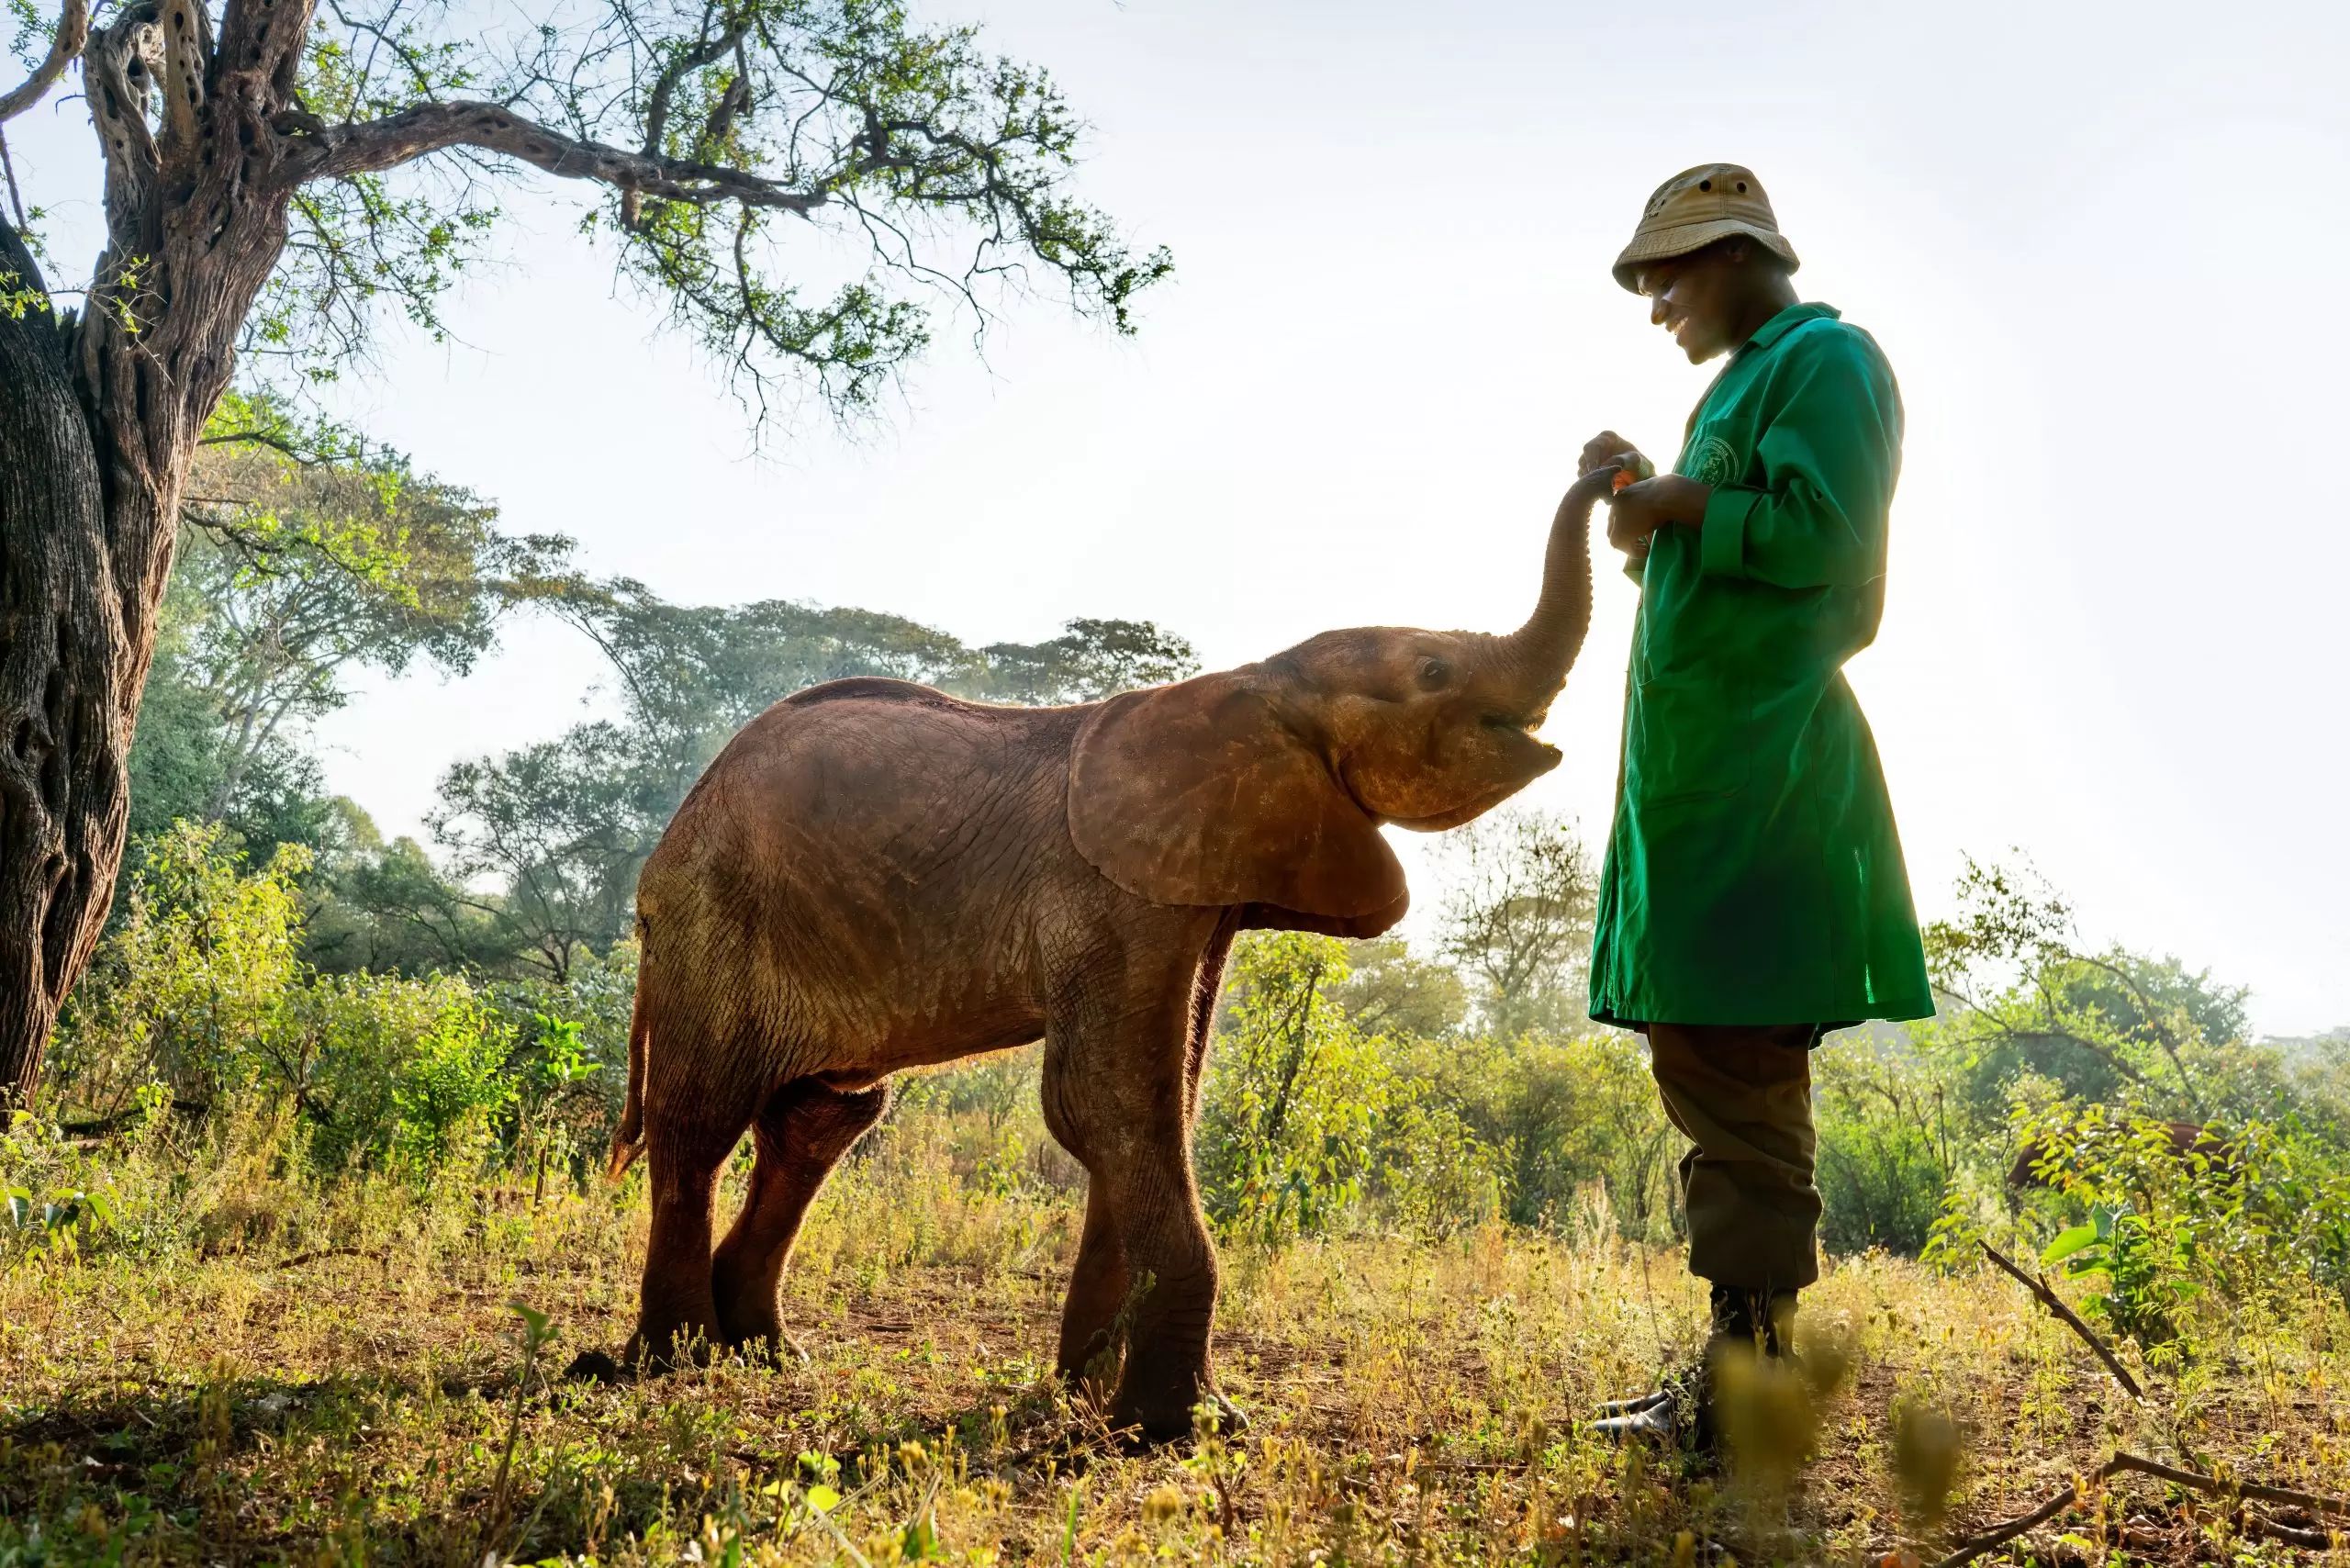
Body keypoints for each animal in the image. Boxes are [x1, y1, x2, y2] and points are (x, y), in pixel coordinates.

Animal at [606, 465, 1617, 1439]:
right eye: (1433, 667)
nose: (1610, 462)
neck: (1257, 683)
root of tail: (667, 847)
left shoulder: (1194, 893)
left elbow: (1156, 1100)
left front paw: (1087, 1396)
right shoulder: (1105, 894)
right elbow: (1103, 1102)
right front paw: (1181, 1424)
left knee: (822, 1114)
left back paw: (765, 1351)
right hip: (713, 915)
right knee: (701, 1117)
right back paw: (669, 1359)